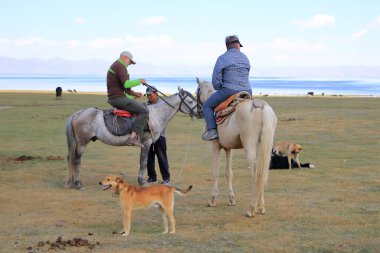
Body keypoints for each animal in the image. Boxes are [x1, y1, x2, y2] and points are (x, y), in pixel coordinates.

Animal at [65, 86, 199, 189]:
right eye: (190, 101)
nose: (200, 112)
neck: (154, 115)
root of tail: (77, 114)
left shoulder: (146, 145)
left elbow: (144, 162)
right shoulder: (147, 143)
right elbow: (143, 162)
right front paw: (143, 182)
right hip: (82, 143)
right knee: (76, 160)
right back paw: (78, 183)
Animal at [196, 77, 276, 217]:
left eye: (197, 91)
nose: (198, 111)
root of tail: (260, 105)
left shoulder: (214, 146)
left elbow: (215, 172)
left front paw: (212, 200)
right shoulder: (229, 149)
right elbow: (229, 173)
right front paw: (231, 199)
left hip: (249, 147)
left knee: (256, 174)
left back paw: (251, 209)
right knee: (262, 172)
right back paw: (261, 207)